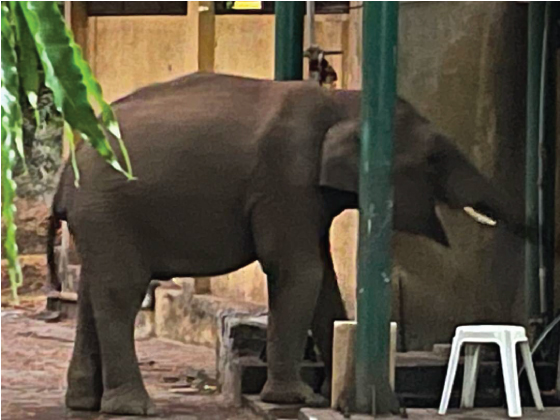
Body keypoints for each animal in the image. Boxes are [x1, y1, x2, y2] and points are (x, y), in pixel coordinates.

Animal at [47, 71, 524, 414]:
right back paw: (133, 408)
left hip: (99, 219)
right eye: (434, 158)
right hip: (109, 210)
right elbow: (299, 271)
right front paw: (295, 400)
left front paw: (335, 399)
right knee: (121, 291)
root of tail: (66, 171)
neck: (345, 99)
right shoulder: (287, 179)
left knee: (91, 291)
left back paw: (85, 404)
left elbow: (323, 277)